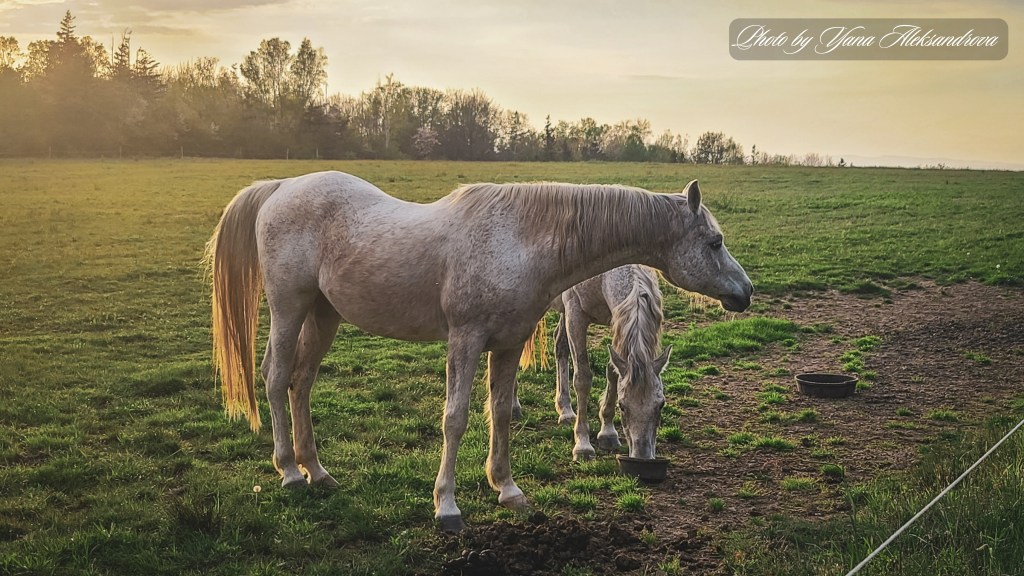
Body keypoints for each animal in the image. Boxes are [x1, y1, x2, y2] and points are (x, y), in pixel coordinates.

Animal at [521, 265, 670, 462]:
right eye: (622, 406)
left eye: (661, 404)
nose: (642, 457)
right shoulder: (575, 314)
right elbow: (582, 379)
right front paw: (583, 447)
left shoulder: (615, 319)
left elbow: (613, 373)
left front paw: (608, 433)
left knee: (560, 344)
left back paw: (565, 411)